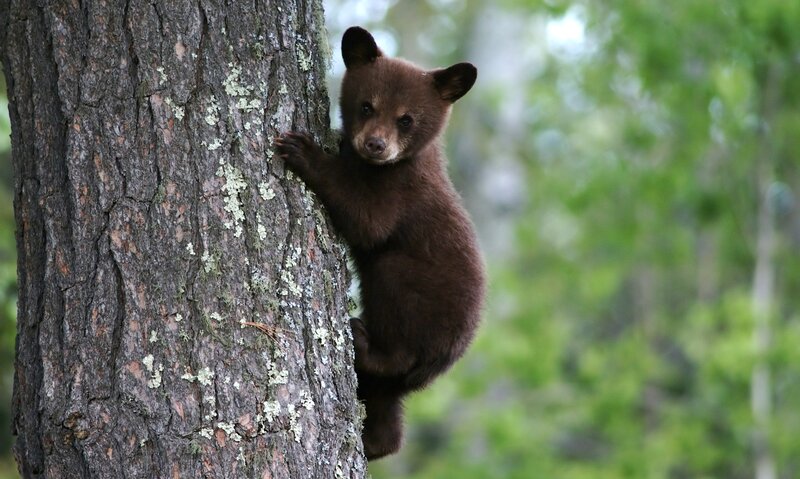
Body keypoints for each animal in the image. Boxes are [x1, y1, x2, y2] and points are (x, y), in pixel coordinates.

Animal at [275, 26, 485, 461]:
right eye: (367, 106)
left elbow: (367, 222)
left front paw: (304, 151)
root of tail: (443, 362)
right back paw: (375, 442)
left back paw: (363, 340)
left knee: (394, 321)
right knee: (387, 410)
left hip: (417, 301)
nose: (375, 145)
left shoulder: (401, 191)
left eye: (406, 119)